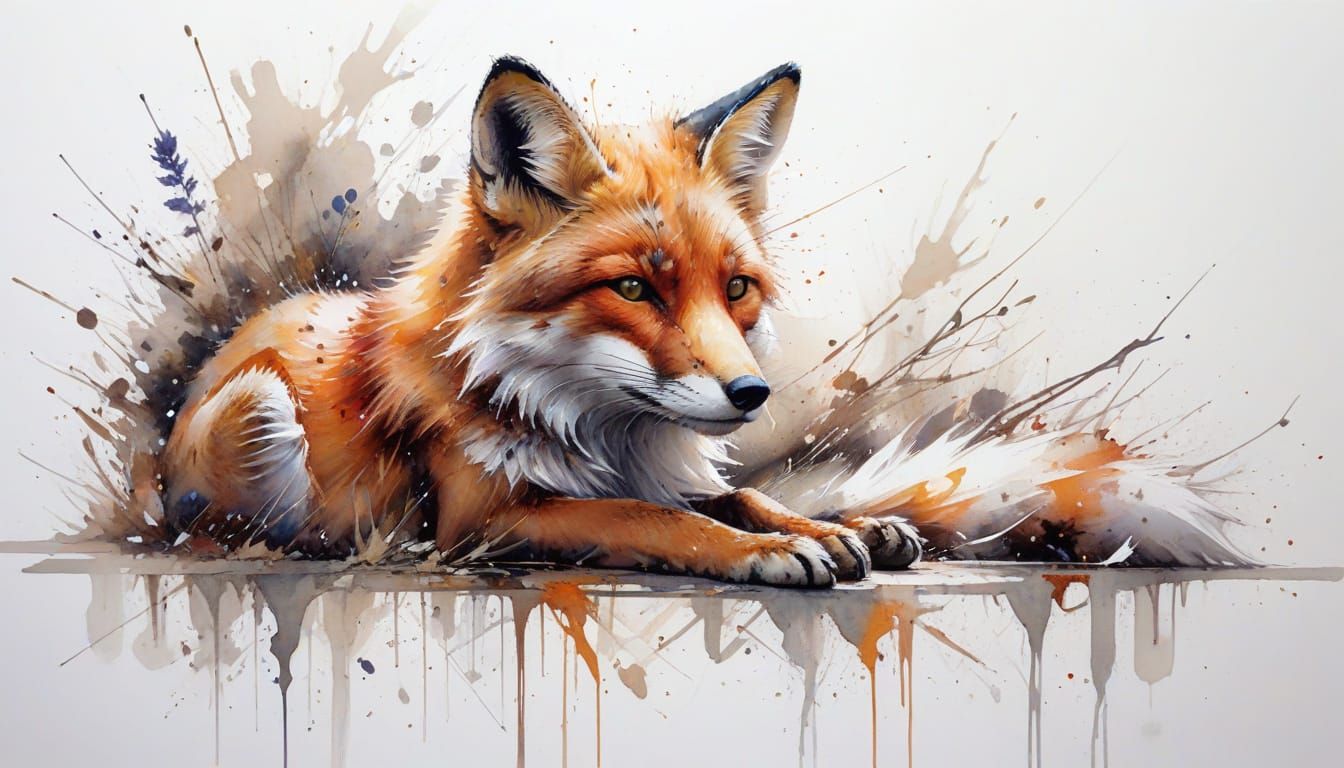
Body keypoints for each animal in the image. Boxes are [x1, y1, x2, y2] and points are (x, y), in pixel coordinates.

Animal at [160, 57, 1247, 586]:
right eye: (634, 289)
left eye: (737, 289)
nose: (751, 392)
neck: (585, 421)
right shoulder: (486, 518)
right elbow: (653, 519)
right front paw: (765, 553)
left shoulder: (666, 464)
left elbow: (742, 496)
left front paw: (835, 529)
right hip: (259, 414)